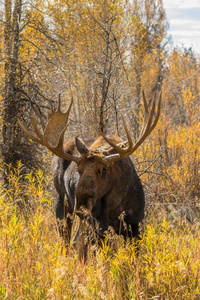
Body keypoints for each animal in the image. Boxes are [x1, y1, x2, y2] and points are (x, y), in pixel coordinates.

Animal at [18, 92, 162, 258]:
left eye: (104, 170)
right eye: (79, 170)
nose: (82, 197)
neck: (116, 204)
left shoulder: (135, 226)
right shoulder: (99, 229)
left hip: (83, 219)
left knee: (77, 242)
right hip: (63, 203)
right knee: (66, 241)